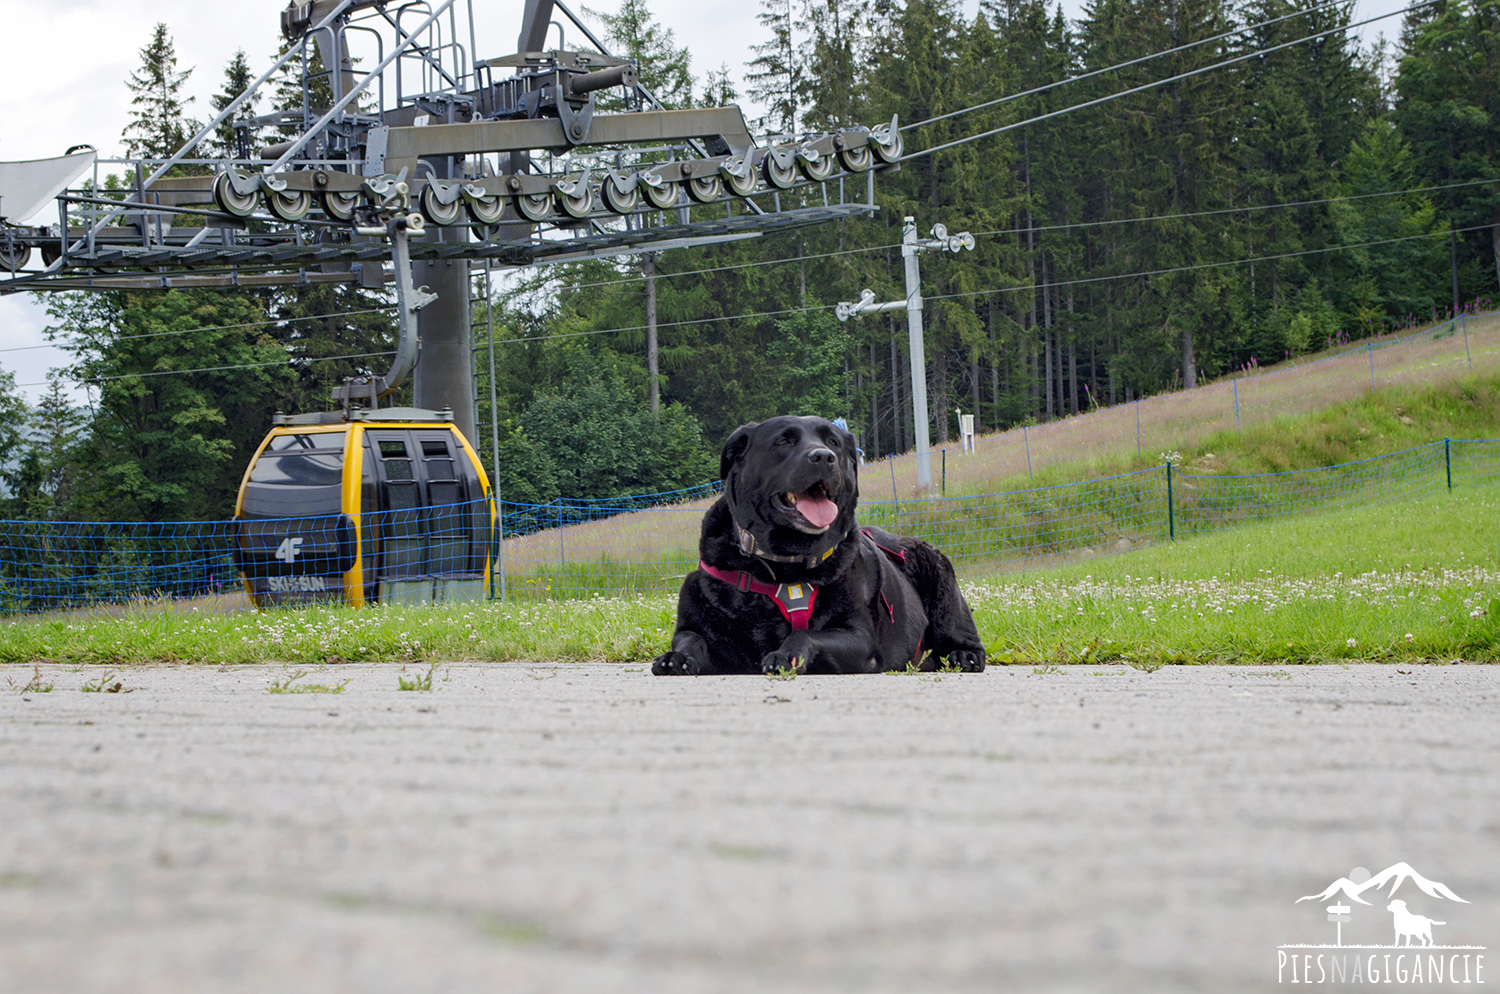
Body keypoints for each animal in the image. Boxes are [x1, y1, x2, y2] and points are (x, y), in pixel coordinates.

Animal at [654, 410, 984, 677]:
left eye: (834, 442)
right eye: (782, 442)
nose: (824, 457)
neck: (783, 564)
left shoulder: (859, 638)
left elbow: (805, 635)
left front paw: (786, 655)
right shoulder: (704, 632)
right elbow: (691, 638)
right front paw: (675, 657)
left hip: (936, 569)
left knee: (964, 640)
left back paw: (964, 655)